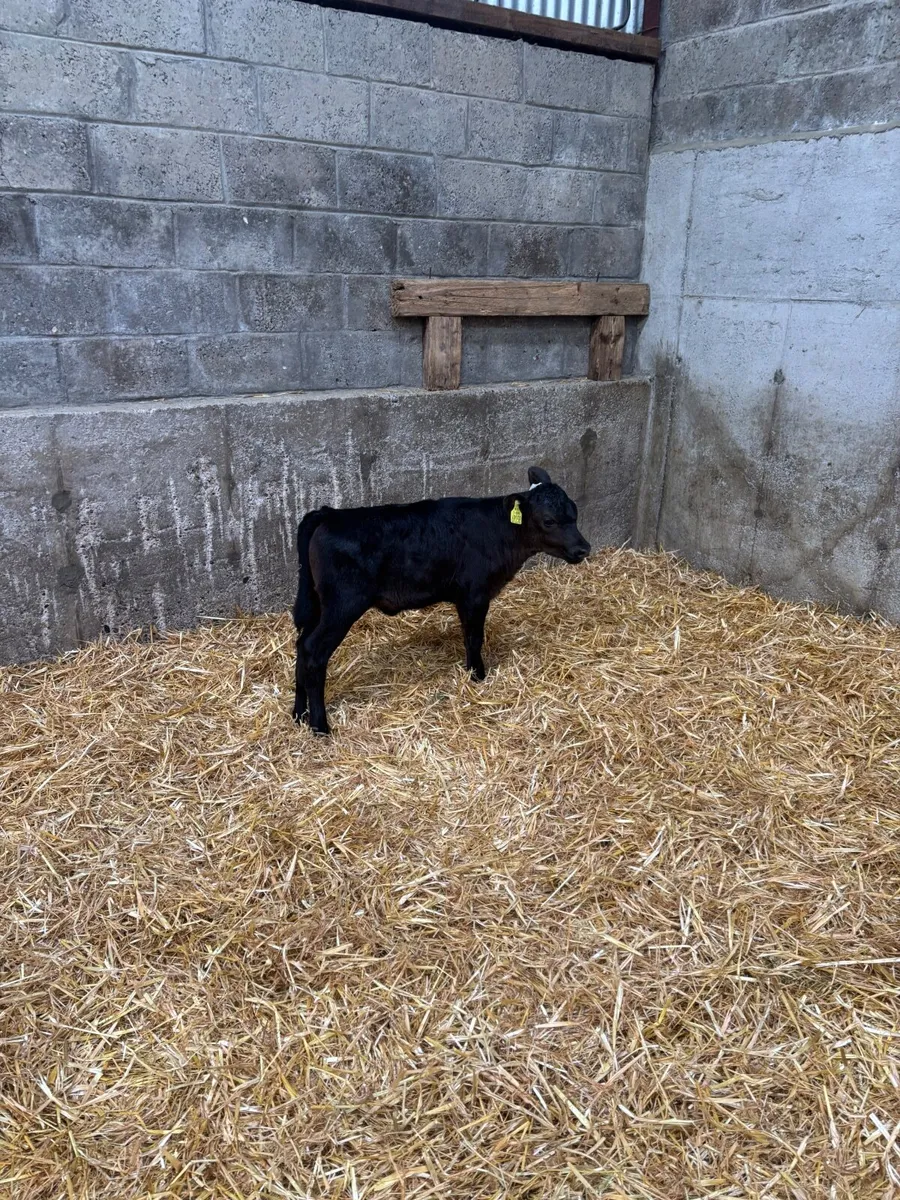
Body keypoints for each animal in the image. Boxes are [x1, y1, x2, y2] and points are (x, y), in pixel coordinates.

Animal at [292, 466, 590, 735]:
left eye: (575, 513)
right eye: (549, 520)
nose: (583, 549)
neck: (499, 531)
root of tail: (328, 513)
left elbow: (468, 637)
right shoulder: (475, 594)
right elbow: (474, 638)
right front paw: (478, 676)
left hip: (319, 605)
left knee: (301, 646)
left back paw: (299, 714)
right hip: (342, 606)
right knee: (313, 652)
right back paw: (320, 726)